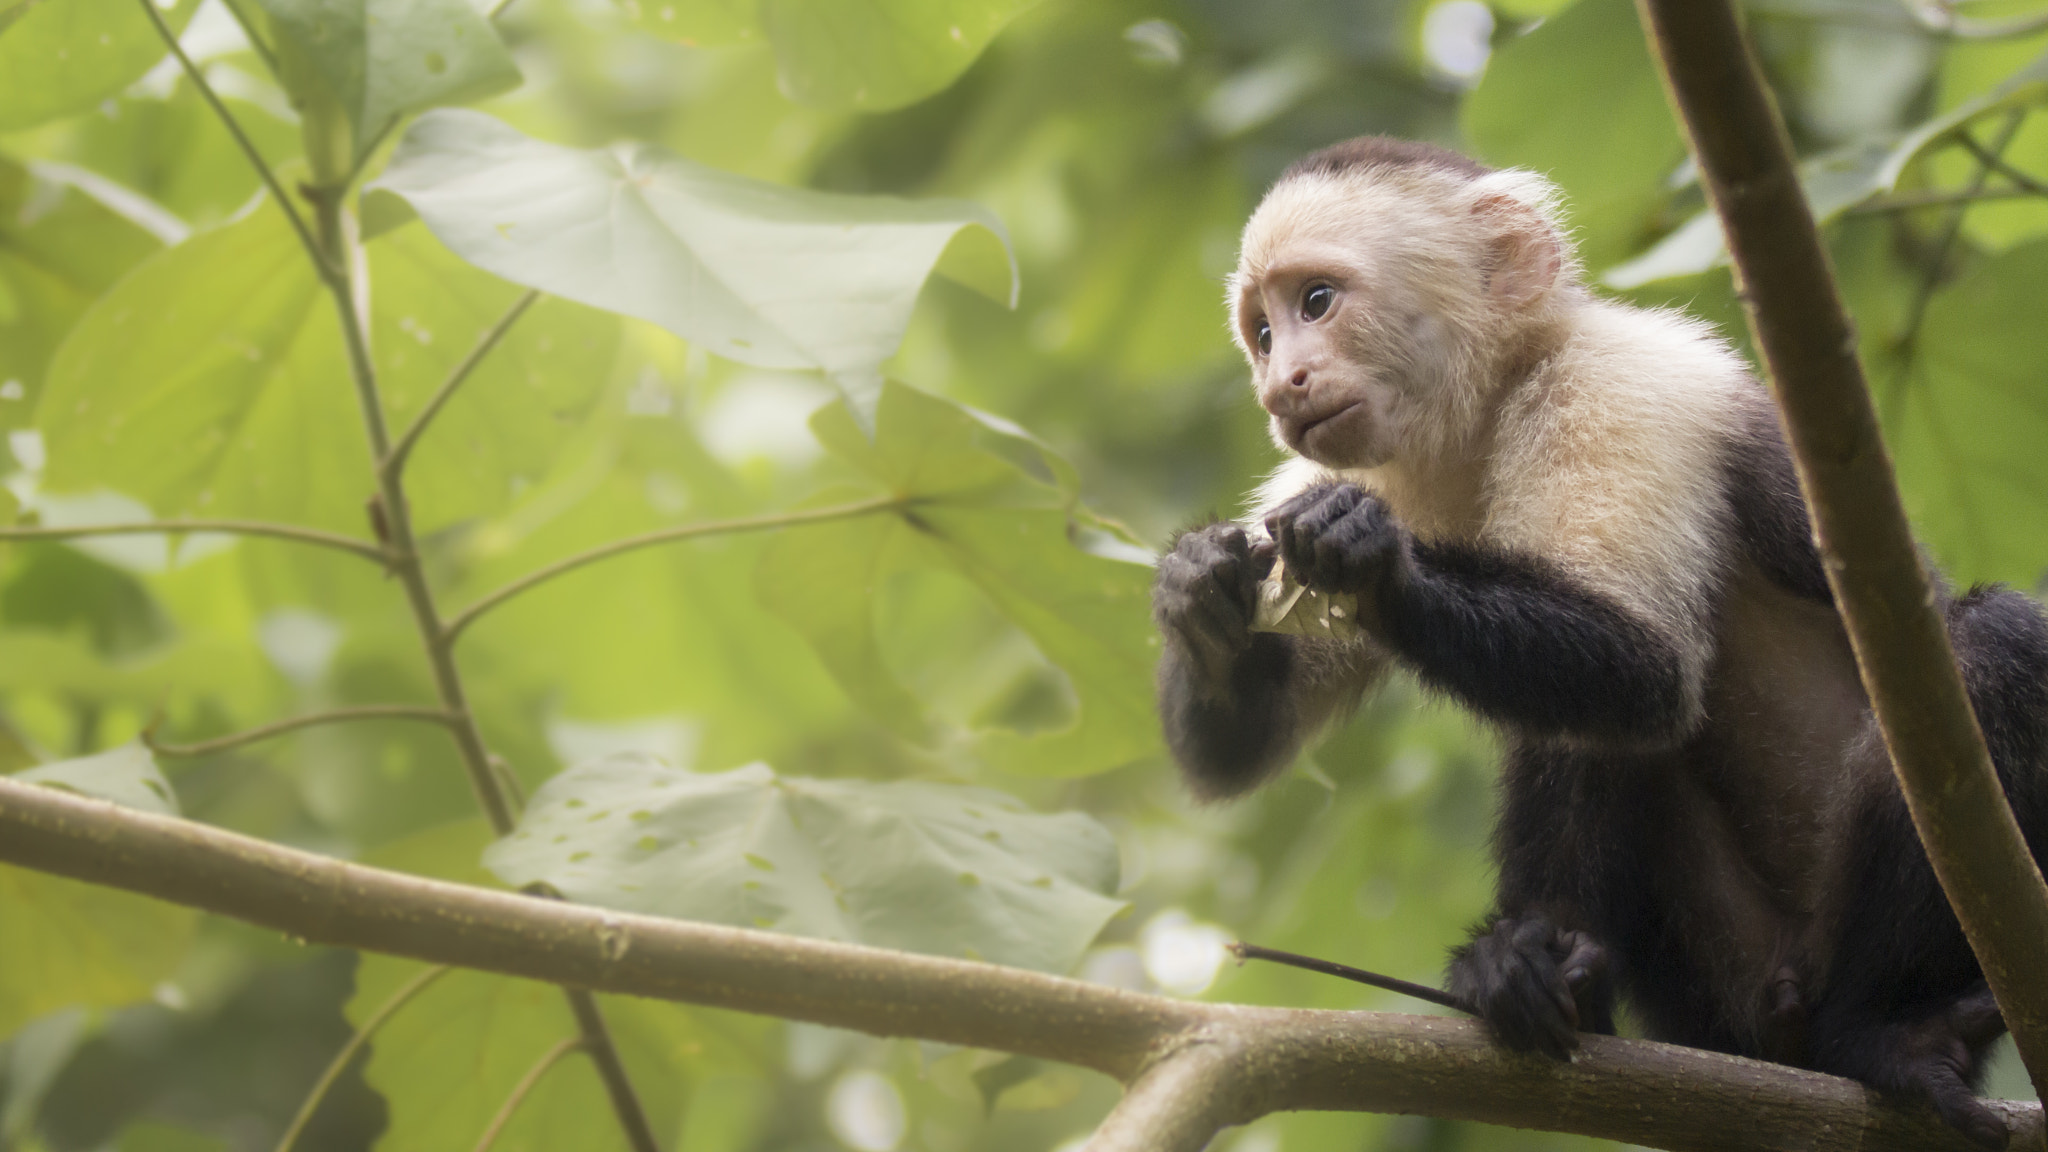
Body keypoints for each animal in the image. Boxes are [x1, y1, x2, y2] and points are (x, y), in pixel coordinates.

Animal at [1155, 132, 2048, 1139]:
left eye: (1316, 302)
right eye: (1262, 332)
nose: (1281, 384)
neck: (1484, 411)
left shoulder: (1615, 387)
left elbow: (1647, 666)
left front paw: (1376, 566)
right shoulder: (1320, 475)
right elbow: (1240, 750)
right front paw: (1200, 592)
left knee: (1990, 646)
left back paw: (1890, 1031)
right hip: (1717, 985)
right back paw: (1542, 971)